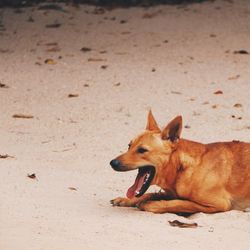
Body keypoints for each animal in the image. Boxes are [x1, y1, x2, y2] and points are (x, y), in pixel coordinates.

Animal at [110, 112, 250, 215]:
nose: (112, 163)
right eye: (129, 146)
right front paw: (126, 199)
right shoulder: (170, 192)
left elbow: (179, 203)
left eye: (142, 150)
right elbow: (150, 194)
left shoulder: (218, 204)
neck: (183, 169)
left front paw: (152, 204)